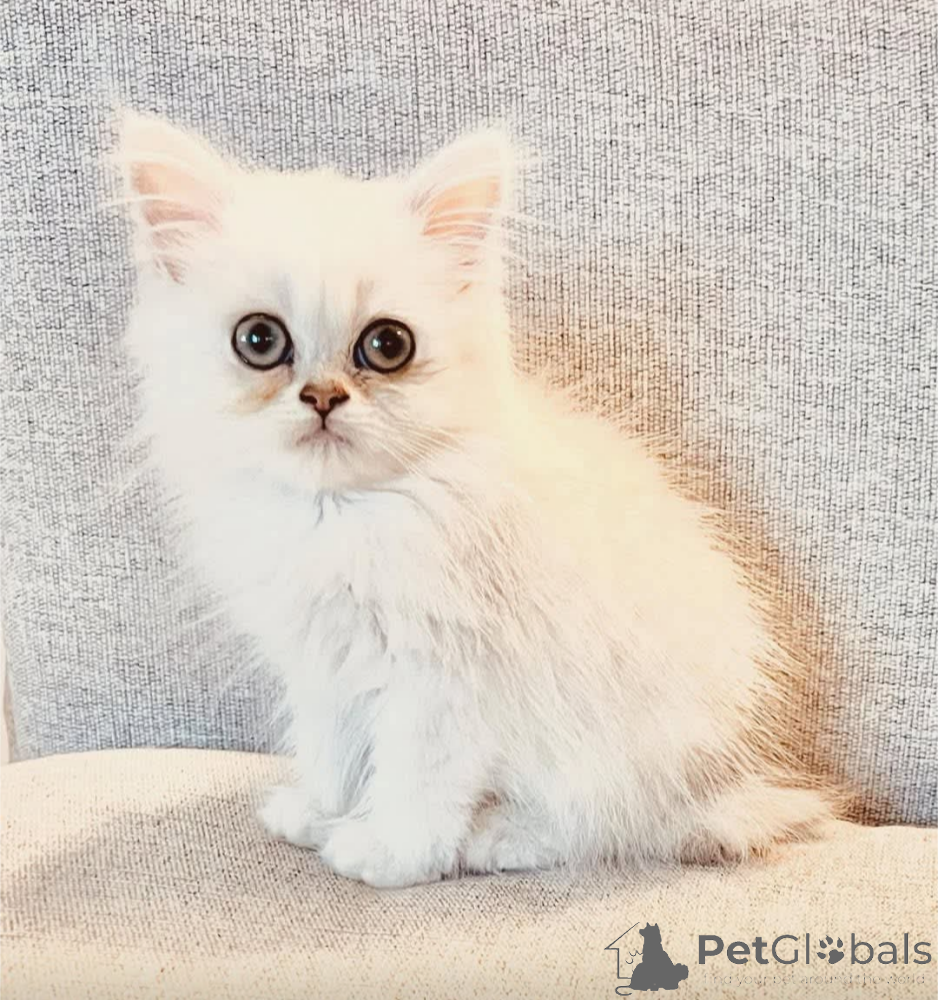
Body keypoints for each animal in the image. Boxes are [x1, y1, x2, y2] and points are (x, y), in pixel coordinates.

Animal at [117, 110, 832, 888]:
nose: (323, 397)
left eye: (387, 346)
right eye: (258, 340)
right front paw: (319, 812)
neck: (344, 514)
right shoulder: (324, 663)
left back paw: (499, 837)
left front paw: (388, 853)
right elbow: (334, 752)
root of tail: (729, 790)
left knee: (604, 827)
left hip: (605, 746)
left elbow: (413, 778)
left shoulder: (440, 675)